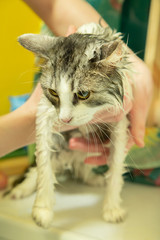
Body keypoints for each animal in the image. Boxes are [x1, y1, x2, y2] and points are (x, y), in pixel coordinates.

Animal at [9, 23, 132, 229]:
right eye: (53, 93)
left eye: (83, 94)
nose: (65, 120)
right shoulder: (44, 112)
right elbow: (43, 164)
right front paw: (42, 210)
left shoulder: (119, 119)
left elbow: (116, 168)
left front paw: (112, 208)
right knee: (38, 167)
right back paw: (21, 188)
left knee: (82, 165)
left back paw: (93, 178)